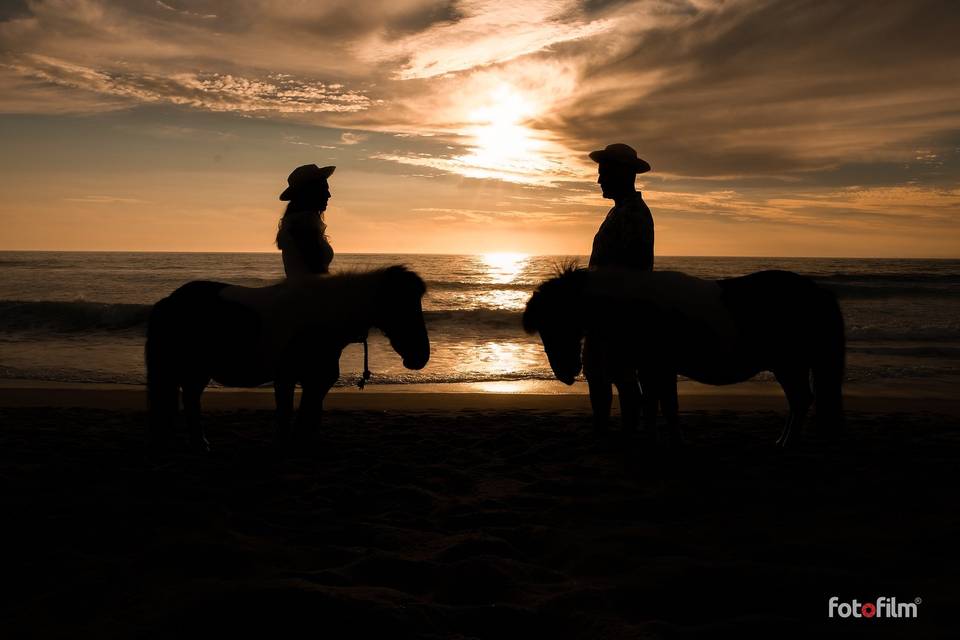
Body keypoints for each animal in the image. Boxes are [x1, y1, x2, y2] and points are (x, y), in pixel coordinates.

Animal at [144, 264, 430, 450]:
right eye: (400, 306)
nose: (420, 357)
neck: (319, 318)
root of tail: (169, 301)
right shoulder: (287, 378)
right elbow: (286, 415)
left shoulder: (317, 381)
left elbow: (307, 415)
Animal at [520, 268, 844, 448]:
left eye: (554, 323)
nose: (565, 372)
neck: (636, 306)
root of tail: (818, 293)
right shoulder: (655, 369)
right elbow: (661, 405)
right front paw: (665, 441)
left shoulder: (656, 368)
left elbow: (659, 405)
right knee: (800, 401)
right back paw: (781, 440)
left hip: (789, 365)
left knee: (801, 400)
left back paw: (786, 444)